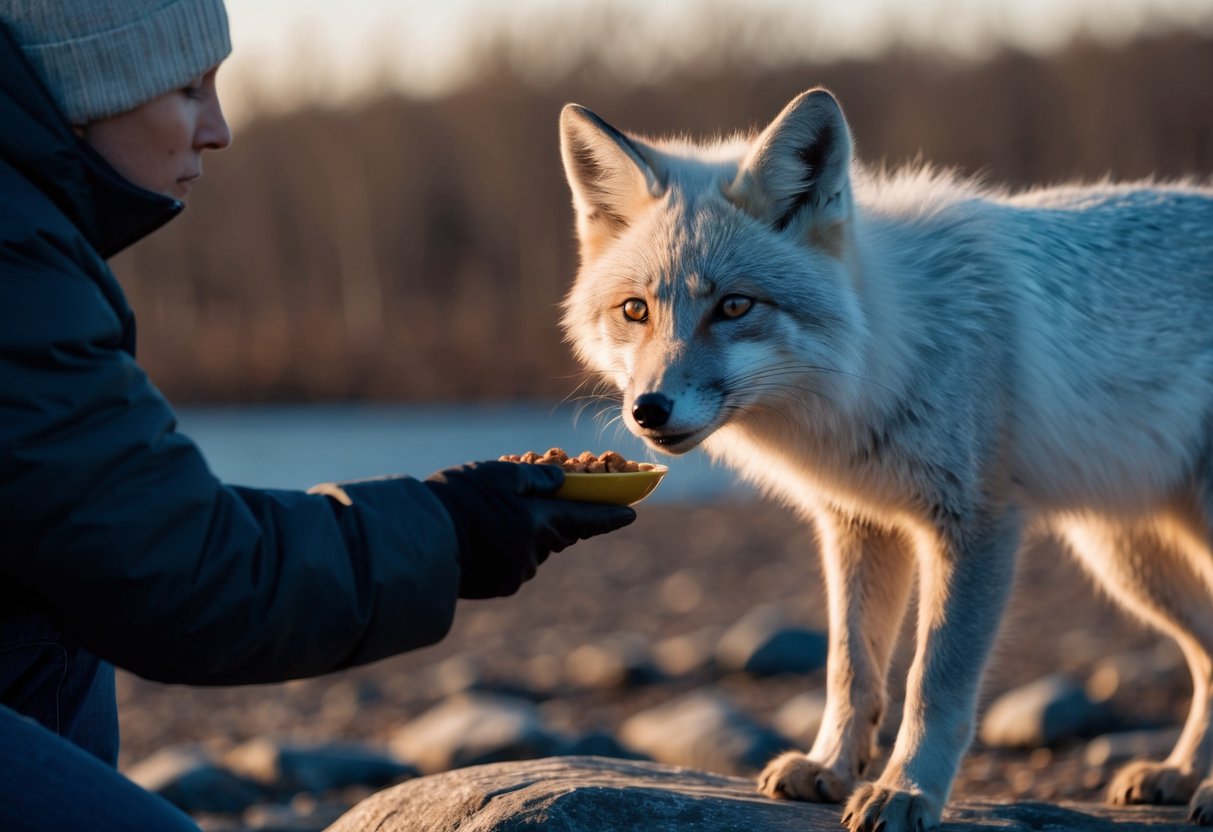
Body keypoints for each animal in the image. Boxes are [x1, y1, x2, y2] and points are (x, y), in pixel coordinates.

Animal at [556, 87, 1213, 831]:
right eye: (635, 310)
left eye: (734, 306)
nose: (649, 410)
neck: (885, 353)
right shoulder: (859, 524)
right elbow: (851, 668)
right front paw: (832, 767)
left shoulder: (975, 527)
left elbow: (934, 682)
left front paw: (906, 792)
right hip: (1127, 561)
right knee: (1209, 658)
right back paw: (1181, 774)